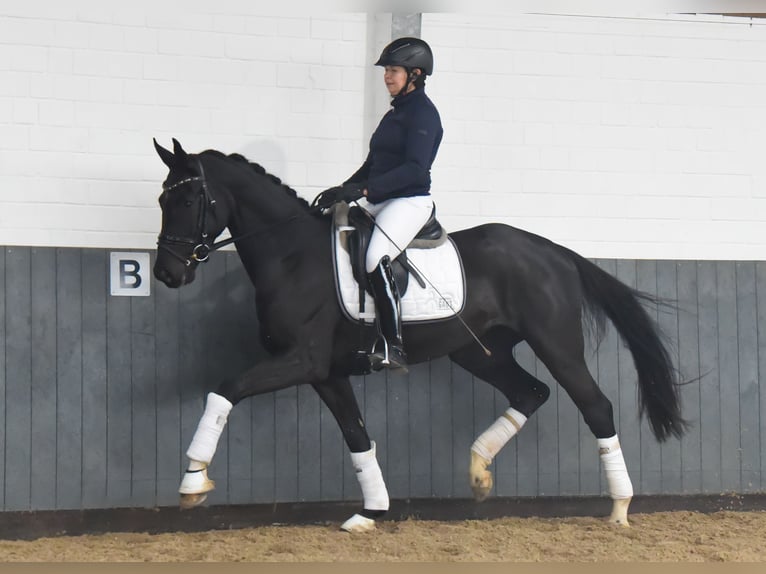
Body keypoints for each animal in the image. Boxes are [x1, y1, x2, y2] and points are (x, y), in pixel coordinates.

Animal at [153, 138, 688, 532]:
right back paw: (478, 472)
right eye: (162, 199)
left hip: (556, 345)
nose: (166, 273)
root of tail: (553, 251)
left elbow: (224, 390)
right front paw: (371, 512)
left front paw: (193, 481)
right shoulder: (325, 371)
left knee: (595, 406)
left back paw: (619, 507)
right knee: (530, 392)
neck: (292, 256)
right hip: (480, 352)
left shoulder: (301, 360)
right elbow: (357, 435)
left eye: (188, 199)